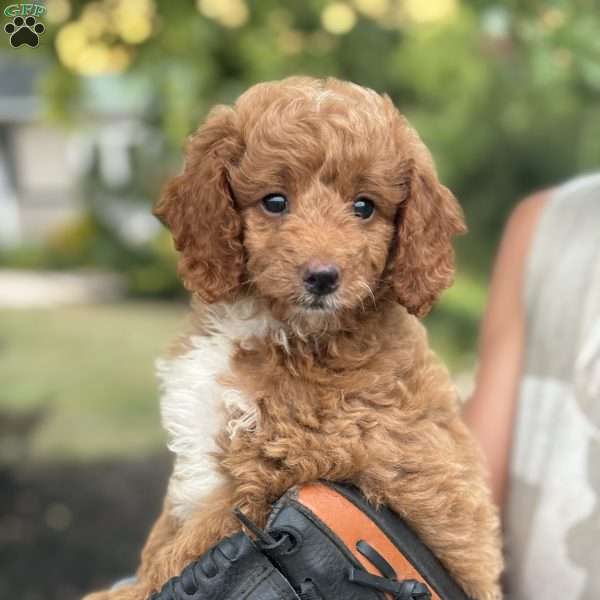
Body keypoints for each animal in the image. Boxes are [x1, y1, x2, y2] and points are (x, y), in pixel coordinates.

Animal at [86, 77, 504, 596]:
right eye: (275, 201)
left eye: (364, 207)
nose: (322, 277)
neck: (275, 326)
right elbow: (164, 535)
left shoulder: (278, 466)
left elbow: (184, 548)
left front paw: (137, 589)